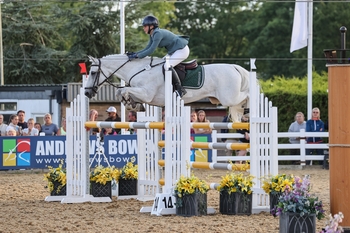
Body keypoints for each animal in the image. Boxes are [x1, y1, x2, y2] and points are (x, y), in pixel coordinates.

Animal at [85, 53, 249, 122]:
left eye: (92, 73)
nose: (87, 93)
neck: (139, 69)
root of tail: (234, 67)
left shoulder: (146, 93)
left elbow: (124, 90)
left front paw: (132, 104)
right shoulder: (144, 94)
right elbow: (120, 92)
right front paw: (133, 105)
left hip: (228, 98)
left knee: (246, 95)